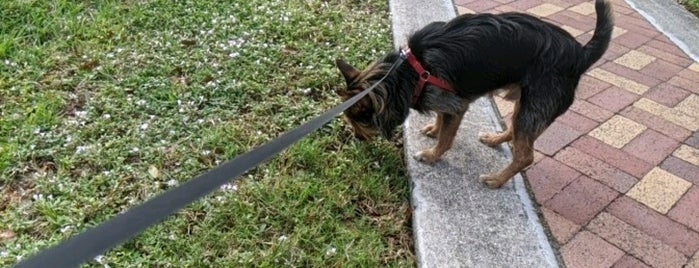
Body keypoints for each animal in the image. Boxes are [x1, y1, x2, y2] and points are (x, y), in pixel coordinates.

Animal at [336, 0, 616, 188]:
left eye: (359, 123)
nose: (357, 140)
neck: (408, 73)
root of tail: (580, 55)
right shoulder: (446, 101)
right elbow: (441, 119)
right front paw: (434, 129)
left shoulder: (456, 104)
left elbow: (446, 138)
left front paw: (431, 155)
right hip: (525, 103)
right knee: (515, 130)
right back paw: (494, 139)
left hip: (535, 105)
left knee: (525, 155)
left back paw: (496, 179)